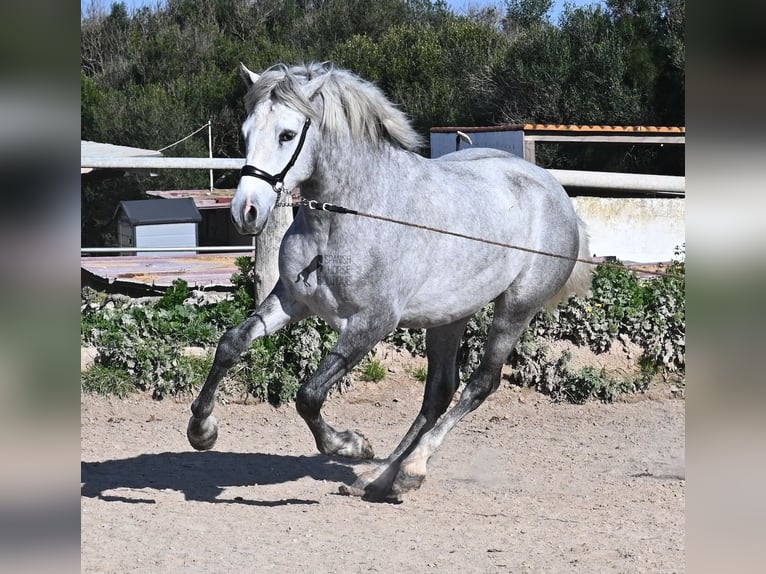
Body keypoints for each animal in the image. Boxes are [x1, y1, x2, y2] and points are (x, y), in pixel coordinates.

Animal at [188, 64, 592, 504]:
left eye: (287, 135)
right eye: (246, 132)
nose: (245, 212)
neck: (348, 216)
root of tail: (557, 194)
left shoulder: (372, 323)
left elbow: (309, 395)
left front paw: (351, 444)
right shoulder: (292, 301)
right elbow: (231, 344)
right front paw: (201, 431)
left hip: (516, 308)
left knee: (481, 383)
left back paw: (410, 470)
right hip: (449, 316)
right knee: (439, 392)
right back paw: (379, 478)